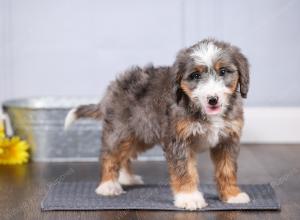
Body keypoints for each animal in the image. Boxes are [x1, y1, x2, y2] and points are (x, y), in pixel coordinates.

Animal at [65, 38, 251, 211]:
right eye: (195, 76)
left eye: (223, 72)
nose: (212, 99)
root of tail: (113, 87)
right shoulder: (179, 140)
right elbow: (184, 170)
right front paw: (189, 197)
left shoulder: (228, 139)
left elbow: (227, 169)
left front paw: (232, 195)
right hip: (121, 131)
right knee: (110, 155)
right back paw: (108, 185)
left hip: (141, 135)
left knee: (125, 155)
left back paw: (126, 178)